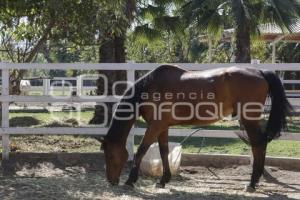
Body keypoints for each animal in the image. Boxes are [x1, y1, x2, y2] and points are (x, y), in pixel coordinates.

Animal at [99, 65, 292, 191]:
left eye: (110, 155)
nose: (111, 181)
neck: (150, 87)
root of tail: (259, 72)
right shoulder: (162, 127)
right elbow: (163, 152)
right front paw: (163, 180)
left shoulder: (154, 127)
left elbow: (141, 151)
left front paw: (130, 181)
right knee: (260, 145)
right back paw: (256, 181)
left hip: (249, 120)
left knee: (258, 146)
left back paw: (252, 183)